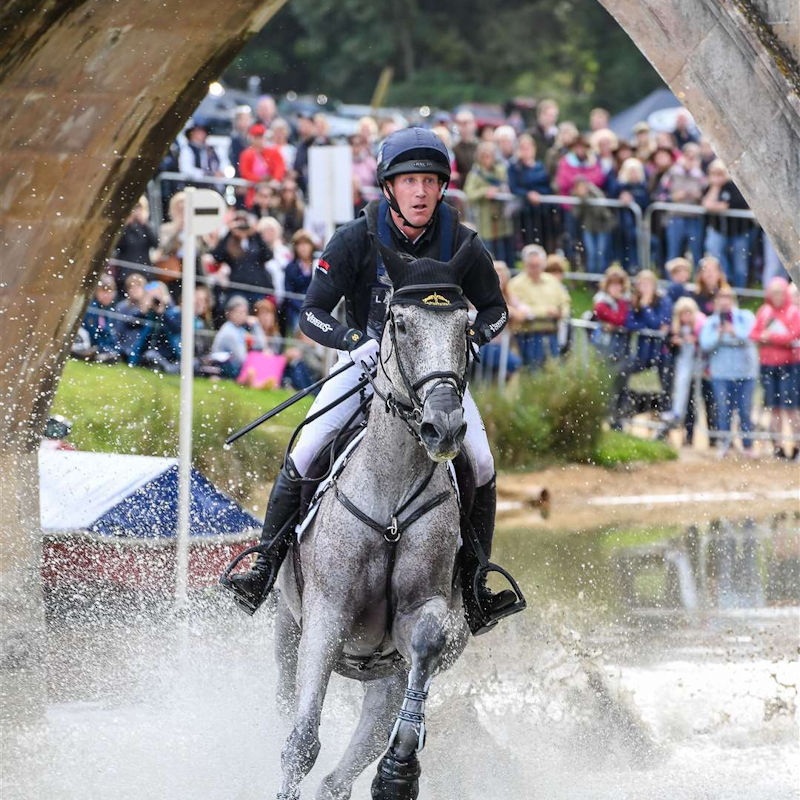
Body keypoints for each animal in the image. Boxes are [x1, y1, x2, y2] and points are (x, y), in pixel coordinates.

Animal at [274, 239, 488, 800]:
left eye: (467, 327)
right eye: (401, 323)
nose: (444, 426)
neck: (390, 498)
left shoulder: (422, 612)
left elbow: (428, 638)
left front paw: (400, 768)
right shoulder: (326, 612)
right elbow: (301, 741)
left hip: (385, 681)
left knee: (341, 775)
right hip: (286, 630)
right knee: (287, 709)